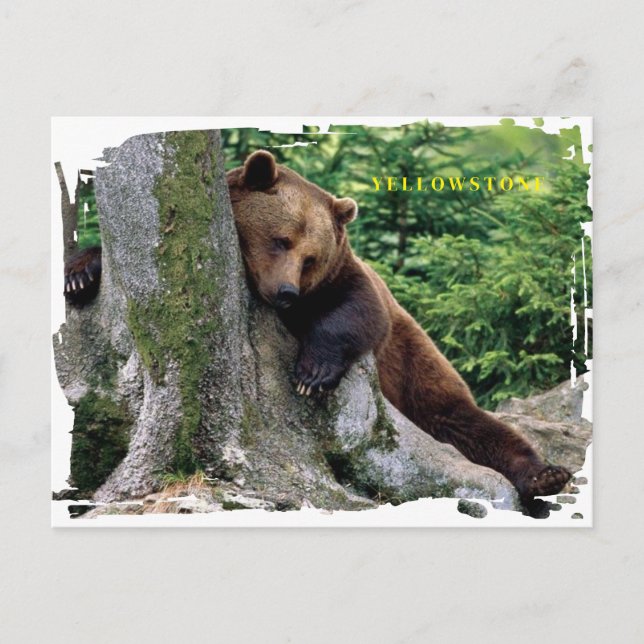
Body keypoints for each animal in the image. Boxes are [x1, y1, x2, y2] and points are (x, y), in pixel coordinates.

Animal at [63, 148, 572, 512]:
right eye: (279, 240)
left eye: (310, 257)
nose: (286, 292)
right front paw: (81, 274)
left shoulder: (345, 280)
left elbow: (357, 311)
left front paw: (312, 374)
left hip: (416, 369)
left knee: (468, 423)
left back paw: (545, 474)